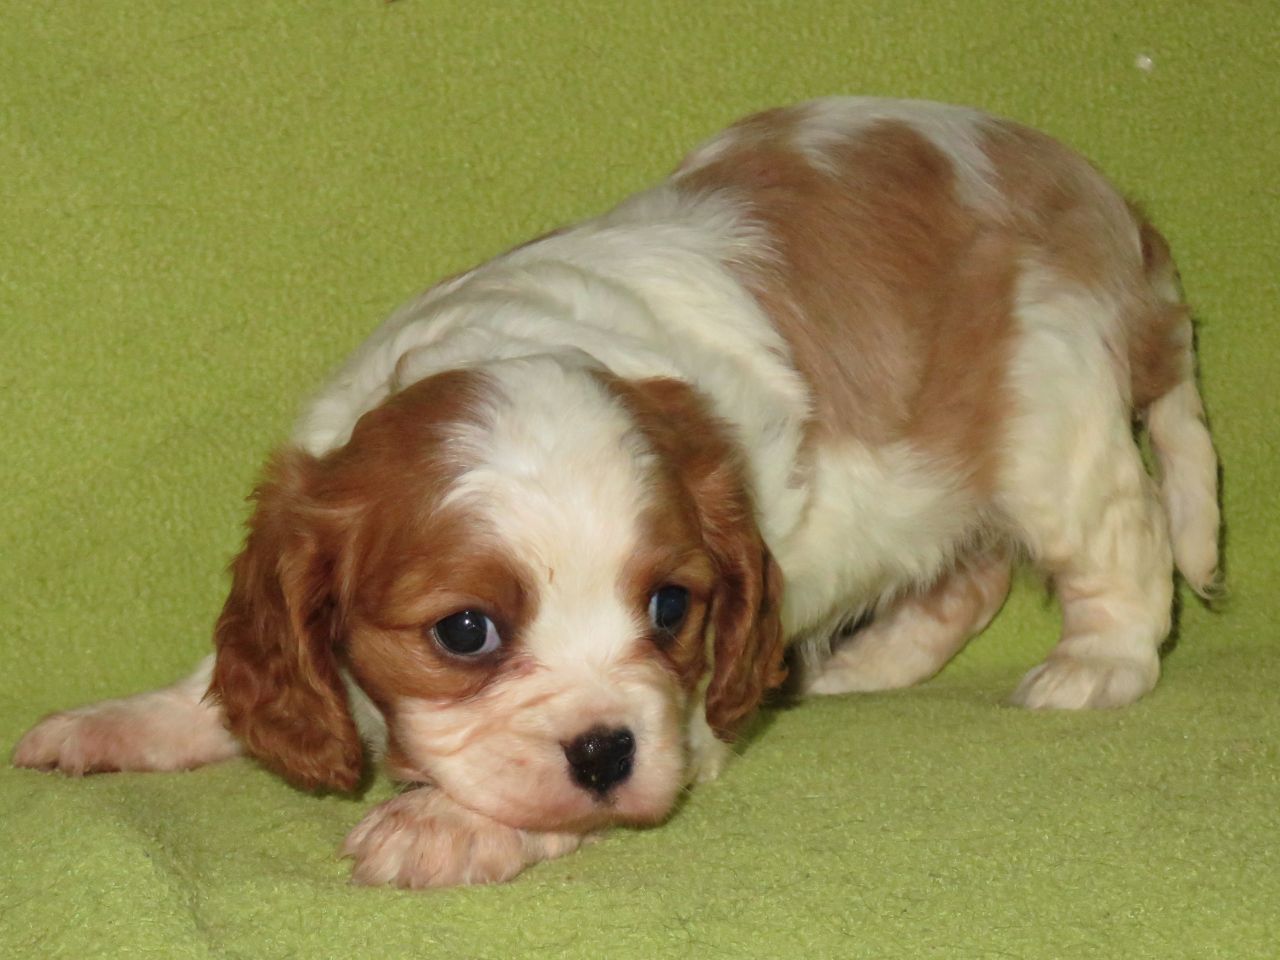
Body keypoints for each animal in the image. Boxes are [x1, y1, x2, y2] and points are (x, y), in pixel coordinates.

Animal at [12, 97, 1218, 885]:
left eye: (670, 609)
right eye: (464, 632)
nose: (603, 752)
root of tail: (1102, 203)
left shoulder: (692, 709)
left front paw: (446, 828)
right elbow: (218, 680)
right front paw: (128, 724)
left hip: (1050, 418)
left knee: (1126, 546)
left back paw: (1094, 666)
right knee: (963, 577)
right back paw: (860, 665)